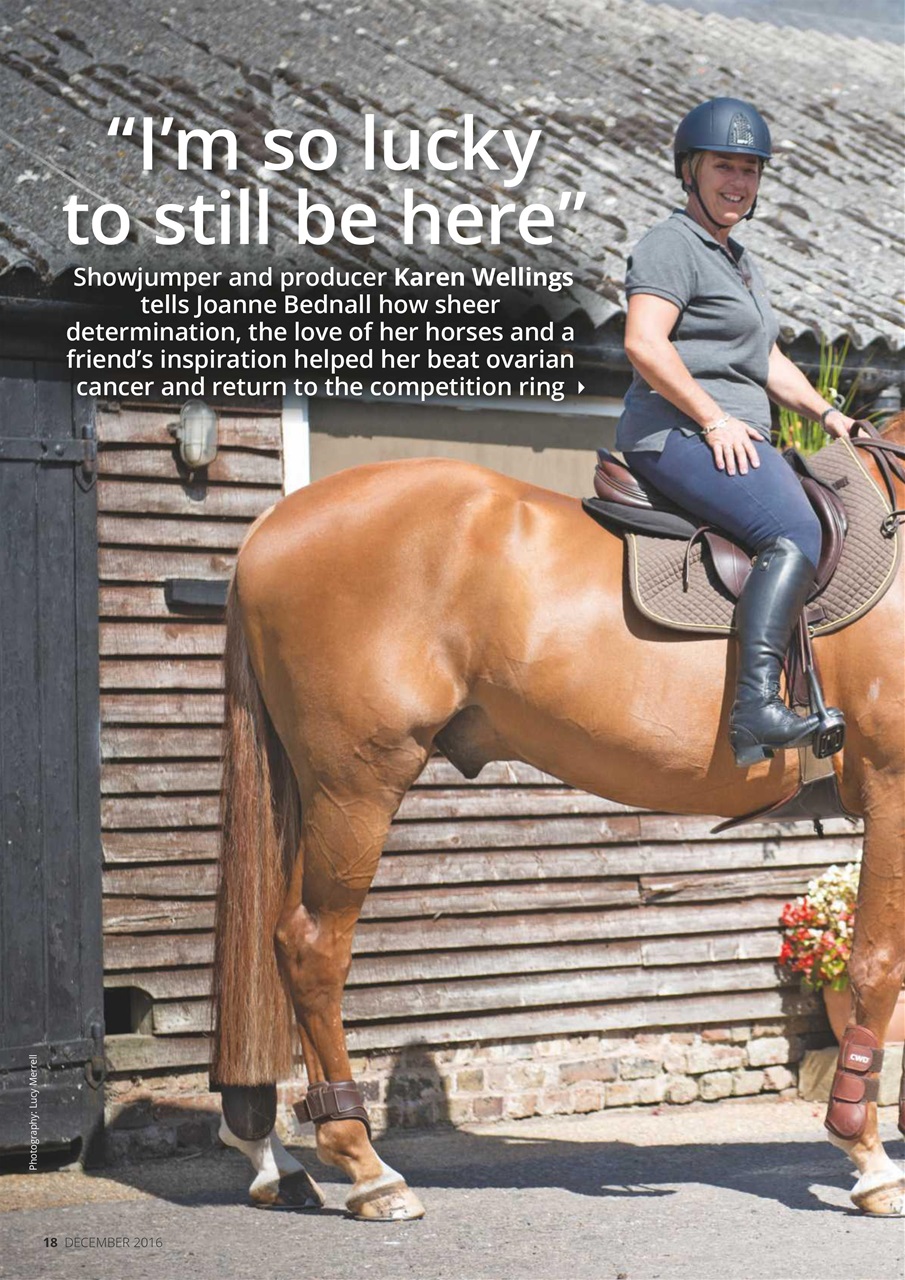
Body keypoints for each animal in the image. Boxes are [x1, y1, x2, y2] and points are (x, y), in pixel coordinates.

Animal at [210, 415, 905, 1220]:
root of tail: (273, 526)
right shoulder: (892, 789)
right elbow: (877, 964)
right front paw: (867, 1158)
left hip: (314, 792)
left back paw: (270, 1156)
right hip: (356, 785)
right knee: (311, 947)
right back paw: (366, 1167)